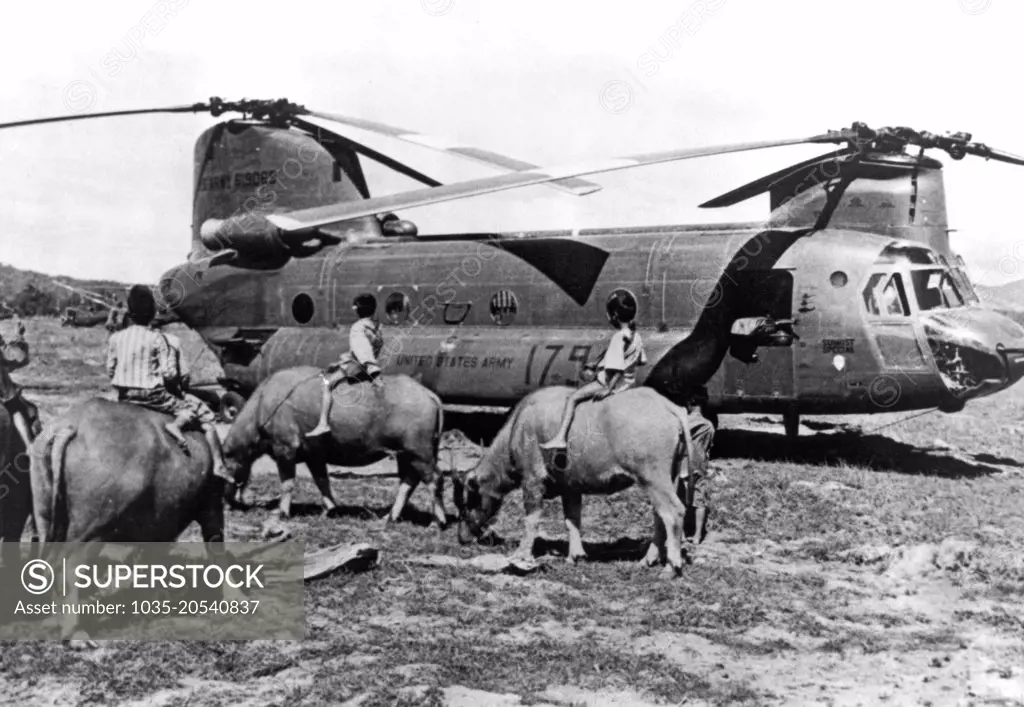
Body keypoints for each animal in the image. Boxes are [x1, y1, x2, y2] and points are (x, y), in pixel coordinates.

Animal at [222, 366, 450, 524]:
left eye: (222, 468)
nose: (226, 503)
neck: (264, 404)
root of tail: (429, 394)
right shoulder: (314, 456)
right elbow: (322, 481)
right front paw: (331, 508)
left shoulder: (285, 449)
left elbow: (287, 483)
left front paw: (282, 511)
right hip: (406, 454)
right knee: (409, 481)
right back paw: (390, 516)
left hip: (420, 453)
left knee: (434, 479)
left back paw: (438, 520)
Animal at [456, 385, 712, 573]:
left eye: (468, 501)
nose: (462, 537)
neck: (519, 427)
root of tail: (666, 405)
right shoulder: (571, 488)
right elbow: (572, 520)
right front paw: (575, 555)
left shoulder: (532, 481)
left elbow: (531, 519)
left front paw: (522, 555)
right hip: (668, 478)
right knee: (660, 515)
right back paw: (648, 559)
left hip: (653, 478)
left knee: (673, 512)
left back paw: (672, 566)